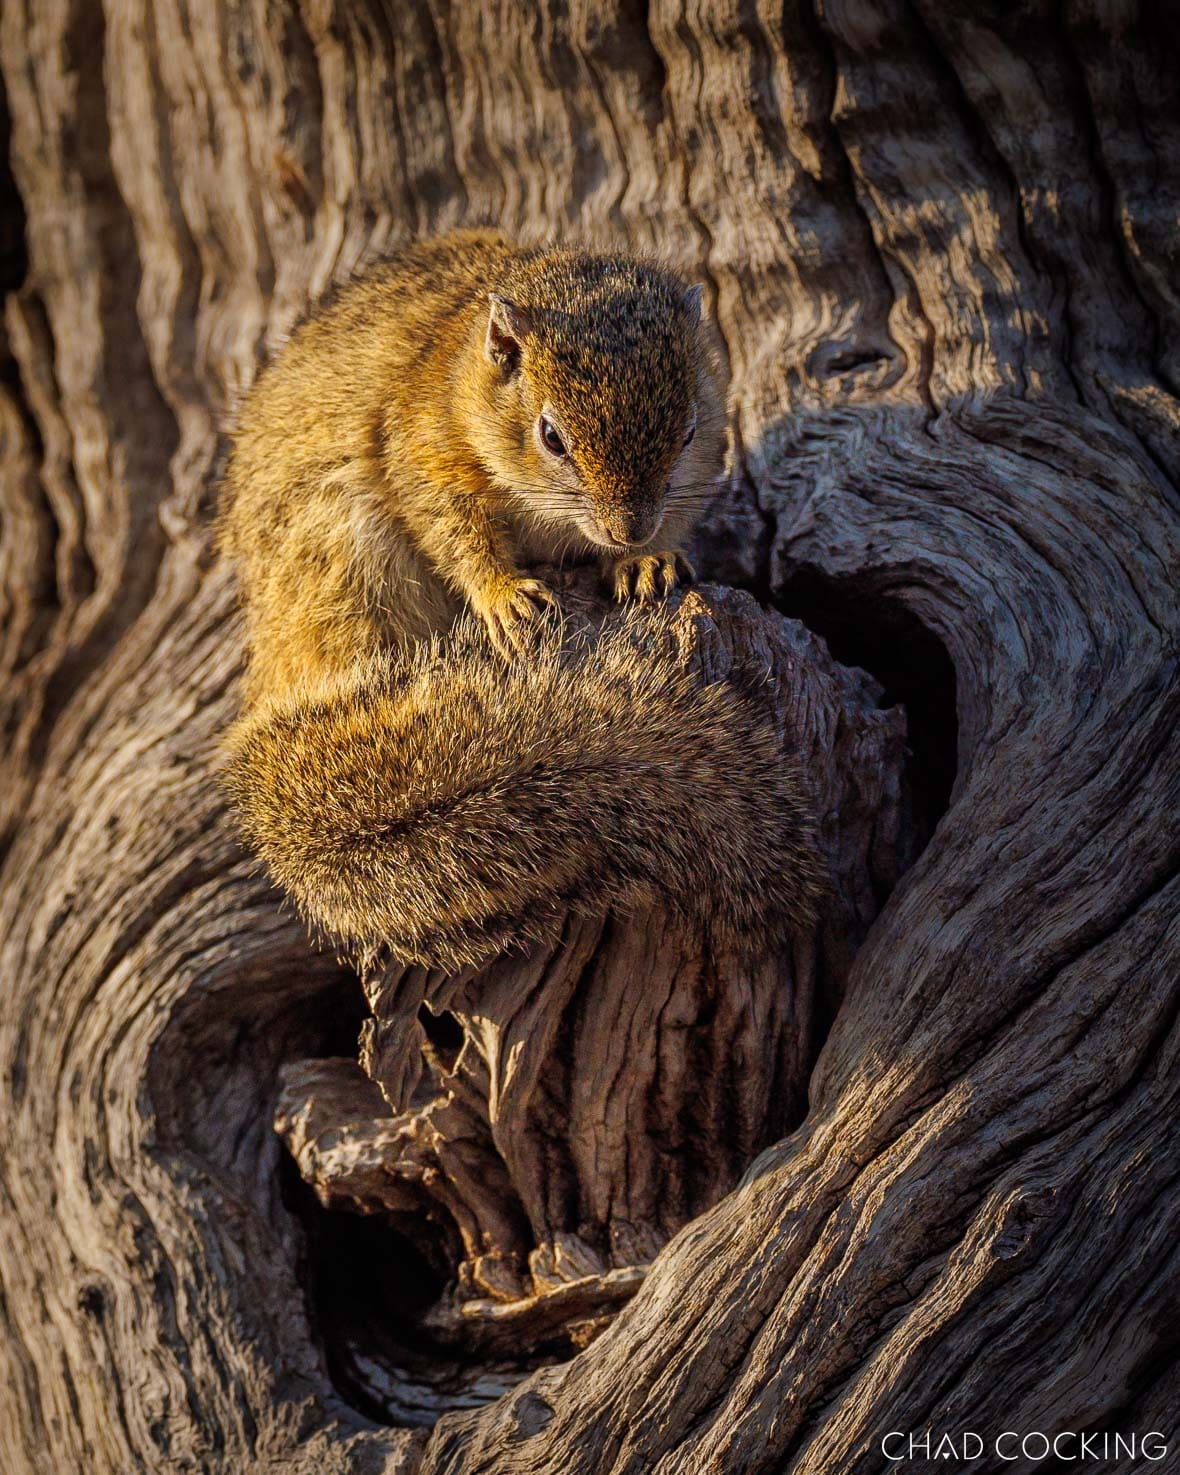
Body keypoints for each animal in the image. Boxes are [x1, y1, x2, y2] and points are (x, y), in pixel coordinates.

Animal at [220, 229, 825, 970]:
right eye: (551, 436)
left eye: (687, 431)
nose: (629, 529)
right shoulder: (422, 446)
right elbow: (454, 531)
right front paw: (505, 596)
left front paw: (646, 562)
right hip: (339, 562)